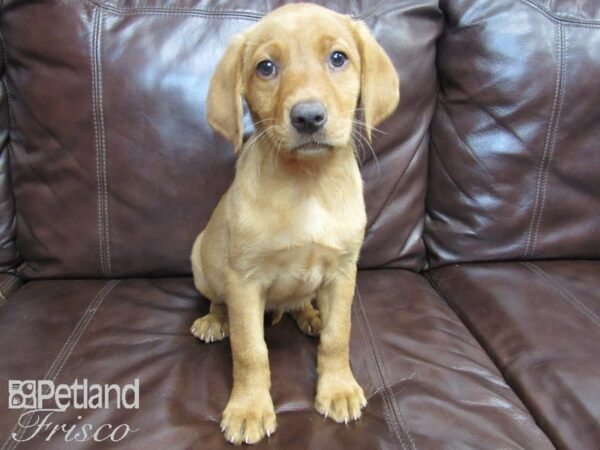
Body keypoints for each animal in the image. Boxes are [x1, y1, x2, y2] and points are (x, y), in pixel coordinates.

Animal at [190, 2, 400, 446]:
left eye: (338, 58)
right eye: (266, 67)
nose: (308, 117)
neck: (308, 183)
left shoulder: (343, 271)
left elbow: (339, 336)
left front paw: (337, 388)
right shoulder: (244, 281)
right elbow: (250, 351)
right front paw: (249, 408)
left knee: (302, 303)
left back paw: (310, 315)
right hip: (202, 261)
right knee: (218, 301)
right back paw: (215, 320)